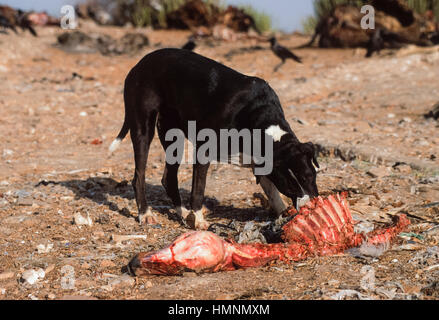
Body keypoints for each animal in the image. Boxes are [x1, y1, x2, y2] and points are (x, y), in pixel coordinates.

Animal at [108, 48, 318, 228]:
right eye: (289, 185)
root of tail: (139, 64)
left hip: (172, 135)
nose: (310, 206)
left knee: (169, 178)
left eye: (310, 176)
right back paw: (145, 213)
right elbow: (198, 189)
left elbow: (272, 191)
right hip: (143, 128)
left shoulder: (261, 161)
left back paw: (183, 212)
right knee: (139, 176)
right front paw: (199, 220)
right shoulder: (203, 151)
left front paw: (283, 212)